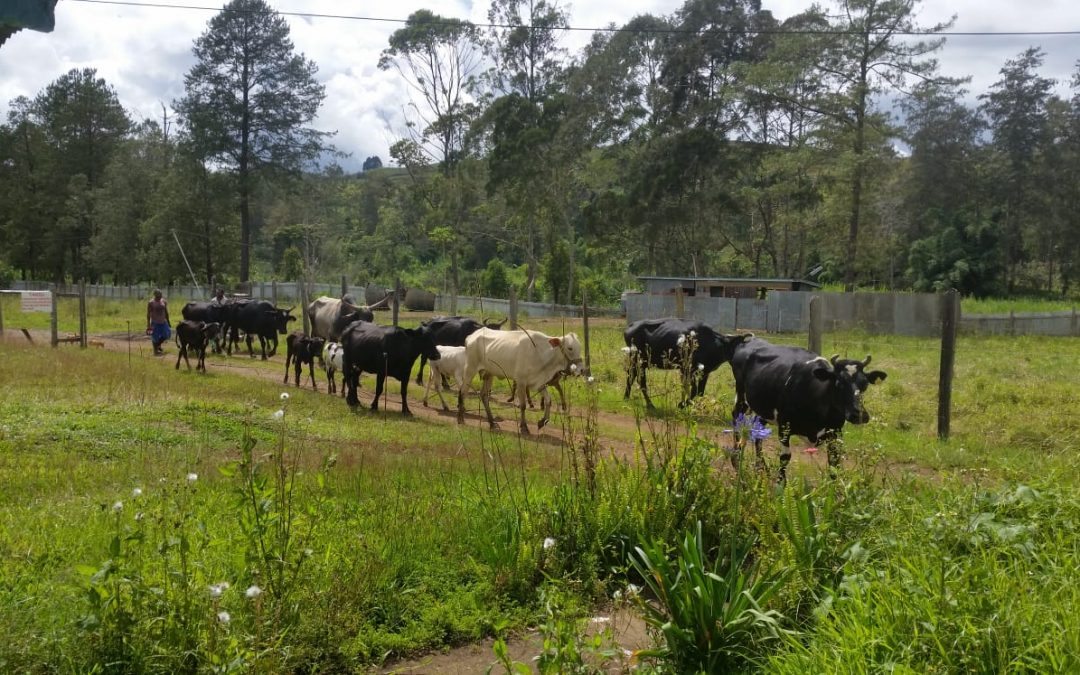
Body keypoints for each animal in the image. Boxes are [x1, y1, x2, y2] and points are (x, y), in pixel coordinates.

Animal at [455, 326, 583, 432]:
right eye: (570, 348)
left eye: (579, 348)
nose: (581, 370)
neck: (541, 353)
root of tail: (472, 336)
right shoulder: (521, 382)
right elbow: (523, 405)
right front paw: (524, 427)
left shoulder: (540, 383)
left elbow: (548, 401)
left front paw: (542, 421)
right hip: (470, 369)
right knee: (463, 391)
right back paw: (460, 419)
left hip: (489, 374)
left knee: (484, 395)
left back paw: (491, 423)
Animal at [730, 336, 889, 479]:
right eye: (839, 383)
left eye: (865, 384)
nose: (859, 415)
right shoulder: (784, 427)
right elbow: (785, 458)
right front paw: (781, 485)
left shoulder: (835, 433)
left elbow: (834, 464)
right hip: (741, 398)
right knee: (736, 418)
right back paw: (736, 460)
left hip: (763, 408)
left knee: (758, 431)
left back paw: (762, 467)